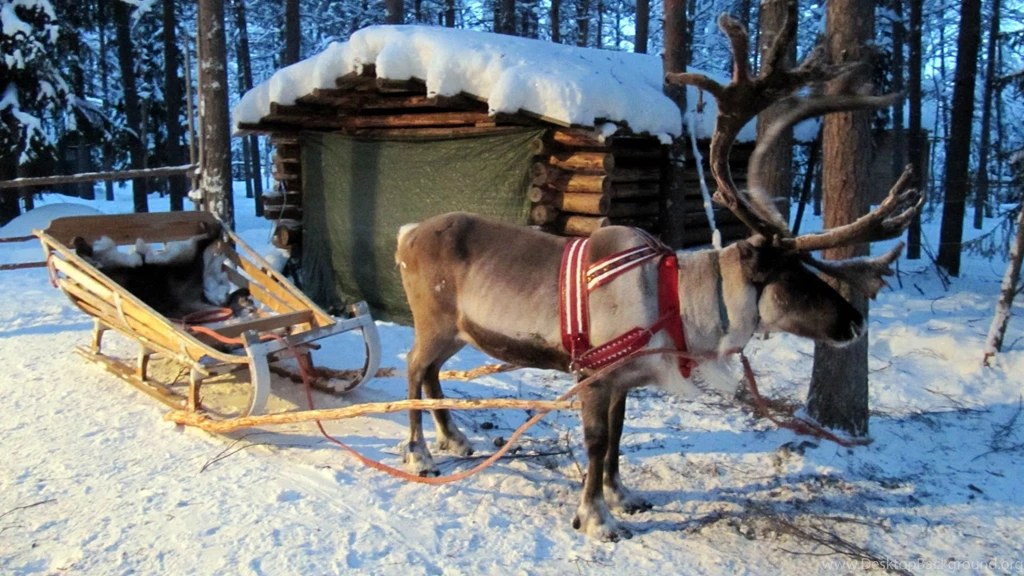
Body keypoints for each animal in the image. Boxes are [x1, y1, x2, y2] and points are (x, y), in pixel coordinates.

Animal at [394, 7, 923, 542]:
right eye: (790, 276)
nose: (855, 322)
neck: (674, 302)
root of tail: (408, 233)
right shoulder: (594, 373)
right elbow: (595, 442)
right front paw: (596, 518)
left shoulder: (626, 381)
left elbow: (617, 438)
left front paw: (622, 496)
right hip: (433, 321)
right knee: (415, 366)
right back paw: (420, 455)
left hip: (457, 331)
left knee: (433, 371)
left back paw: (454, 438)